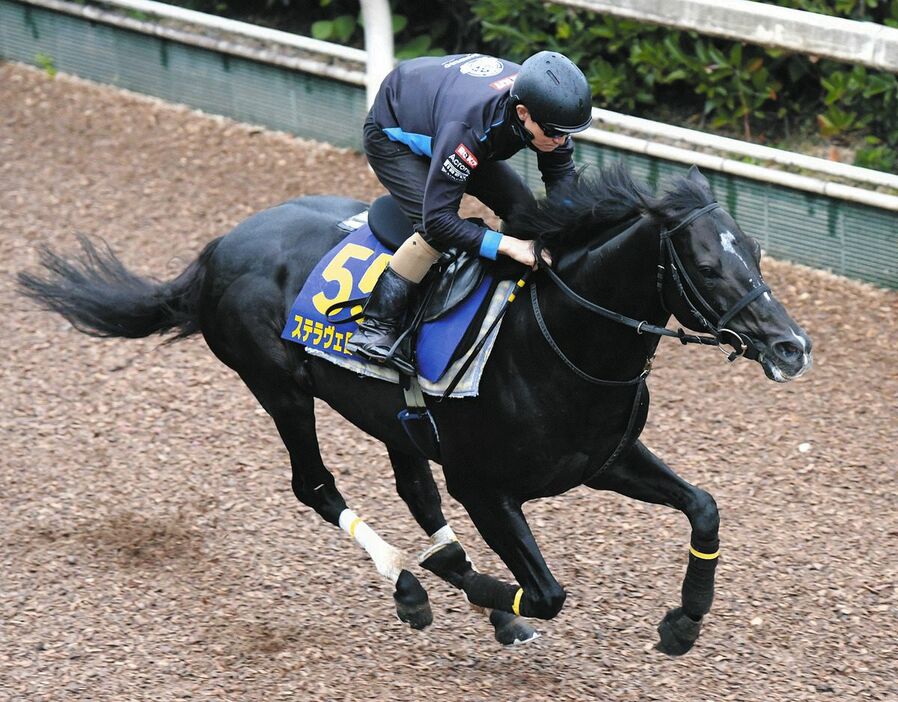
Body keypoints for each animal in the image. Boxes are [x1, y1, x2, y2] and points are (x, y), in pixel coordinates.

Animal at [17, 164, 812, 656]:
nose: (792, 346)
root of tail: (218, 247)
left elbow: (704, 506)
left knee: (412, 487)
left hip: (390, 416)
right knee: (315, 486)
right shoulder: (486, 487)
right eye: (706, 265)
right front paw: (487, 590)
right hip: (279, 388)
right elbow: (546, 592)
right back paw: (413, 581)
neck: (553, 339)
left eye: (757, 255)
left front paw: (683, 623)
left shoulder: (604, 459)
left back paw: (452, 580)